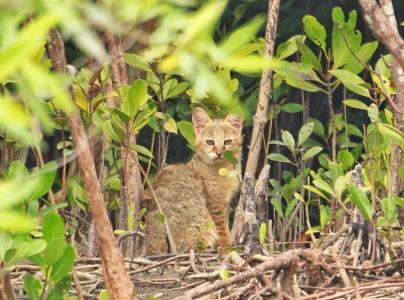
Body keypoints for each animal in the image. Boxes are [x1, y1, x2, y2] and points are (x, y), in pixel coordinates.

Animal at [144, 106, 241, 254]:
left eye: (227, 142)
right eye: (210, 142)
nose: (219, 153)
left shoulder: (224, 203)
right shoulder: (215, 205)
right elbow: (223, 231)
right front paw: (227, 248)